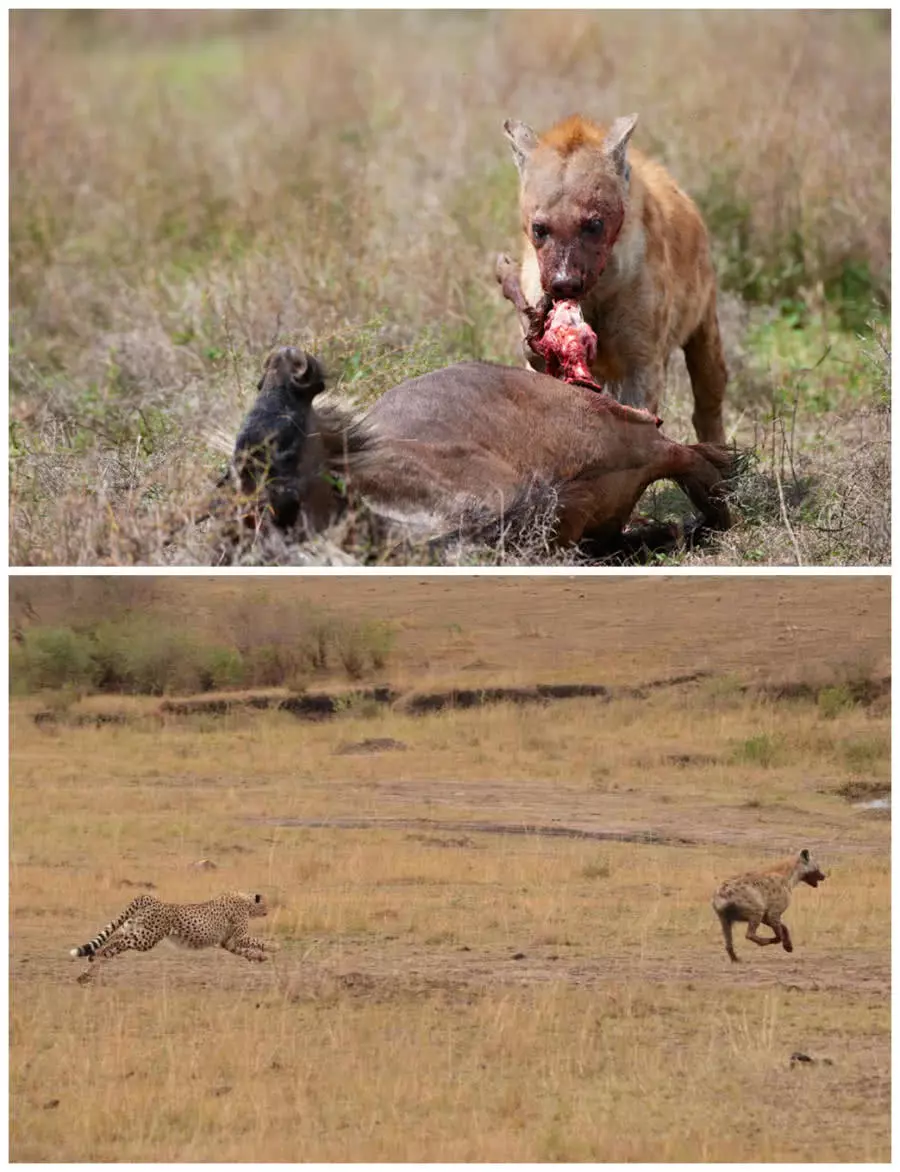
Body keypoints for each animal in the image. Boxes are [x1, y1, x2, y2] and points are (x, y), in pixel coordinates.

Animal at [69, 886, 274, 979]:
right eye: (265, 904)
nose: (268, 911)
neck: (245, 900)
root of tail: (150, 898)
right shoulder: (238, 936)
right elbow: (254, 940)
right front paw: (272, 947)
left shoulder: (228, 942)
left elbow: (244, 950)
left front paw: (260, 957)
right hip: (145, 938)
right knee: (115, 944)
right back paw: (95, 960)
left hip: (133, 928)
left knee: (111, 939)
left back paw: (90, 965)